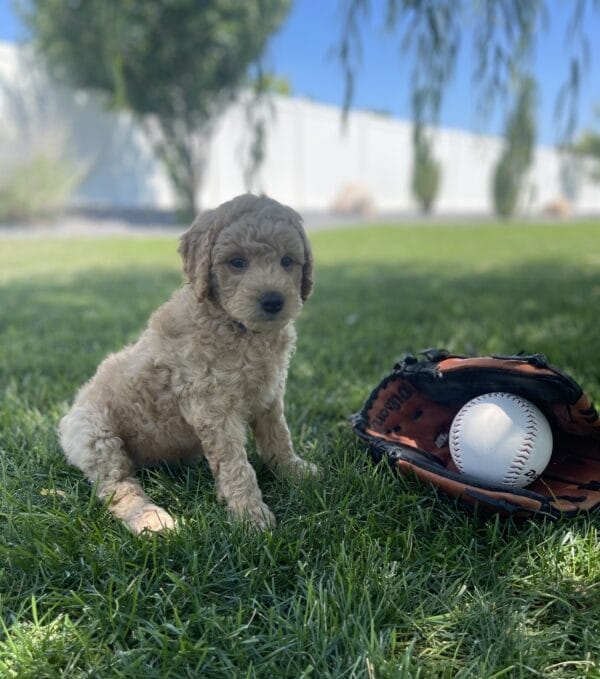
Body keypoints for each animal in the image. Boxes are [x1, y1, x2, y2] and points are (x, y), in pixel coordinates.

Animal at [58, 194, 316, 532]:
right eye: (237, 262)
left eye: (288, 261)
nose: (273, 301)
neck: (237, 328)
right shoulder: (213, 407)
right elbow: (236, 464)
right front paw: (250, 515)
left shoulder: (269, 396)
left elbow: (278, 438)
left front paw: (294, 472)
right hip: (96, 437)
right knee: (117, 486)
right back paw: (152, 520)